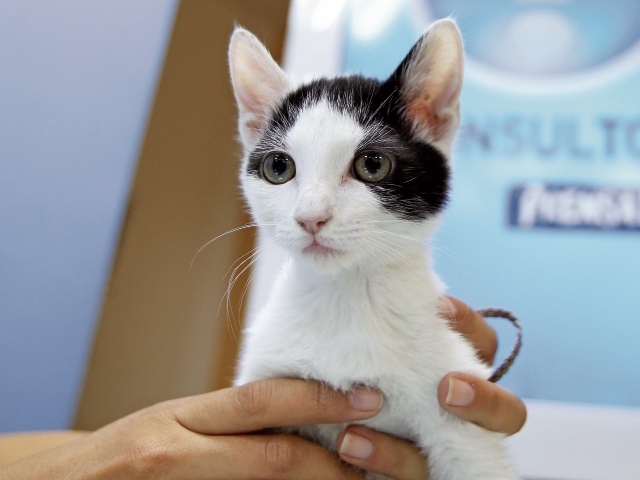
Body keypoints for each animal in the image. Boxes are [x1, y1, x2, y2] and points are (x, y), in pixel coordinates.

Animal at [228, 18, 516, 480]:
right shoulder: (265, 380)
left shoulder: (456, 403)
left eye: (373, 164)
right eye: (278, 167)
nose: (310, 217)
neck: (346, 298)